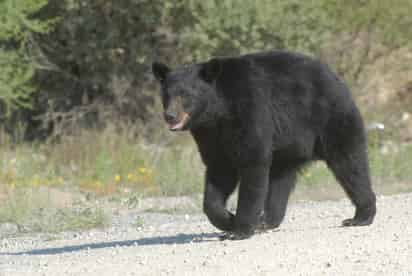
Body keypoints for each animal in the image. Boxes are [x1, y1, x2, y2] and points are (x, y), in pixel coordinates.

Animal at [152, 49, 376, 239]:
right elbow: (219, 172)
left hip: (330, 120)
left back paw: (360, 216)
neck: (219, 112)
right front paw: (227, 220)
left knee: (350, 164)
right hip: (287, 147)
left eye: (186, 94)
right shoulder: (211, 136)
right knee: (280, 180)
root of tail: (336, 77)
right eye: (166, 94)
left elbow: (253, 163)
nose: (170, 116)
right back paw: (266, 221)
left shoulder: (249, 110)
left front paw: (239, 230)